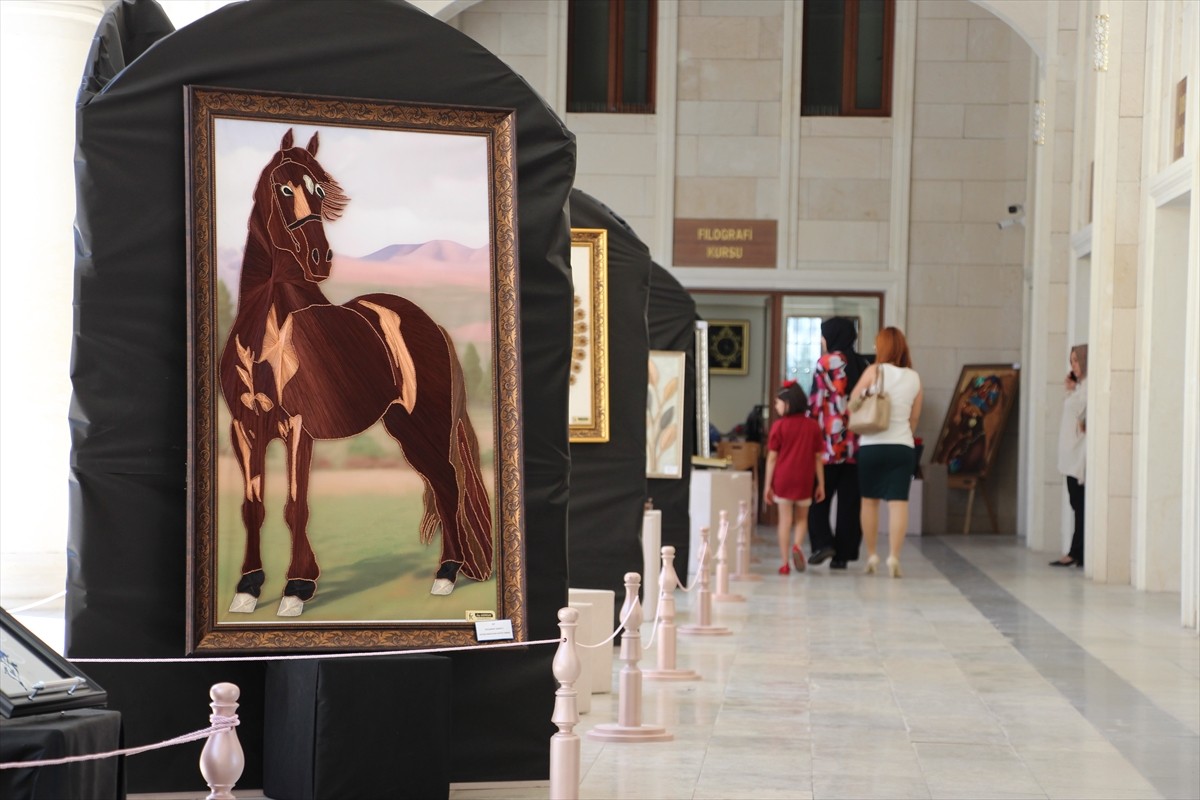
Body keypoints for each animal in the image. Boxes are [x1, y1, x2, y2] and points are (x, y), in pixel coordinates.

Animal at [220, 130, 492, 618]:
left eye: (319, 191)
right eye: (284, 188)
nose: (321, 258)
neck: (268, 336)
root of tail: (432, 324)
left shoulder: (298, 428)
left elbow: (295, 505)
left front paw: (297, 588)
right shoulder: (245, 429)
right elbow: (254, 507)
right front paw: (248, 588)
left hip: (426, 424)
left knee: (449, 484)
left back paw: (446, 575)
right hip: (404, 427)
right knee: (441, 484)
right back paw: (448, 571)